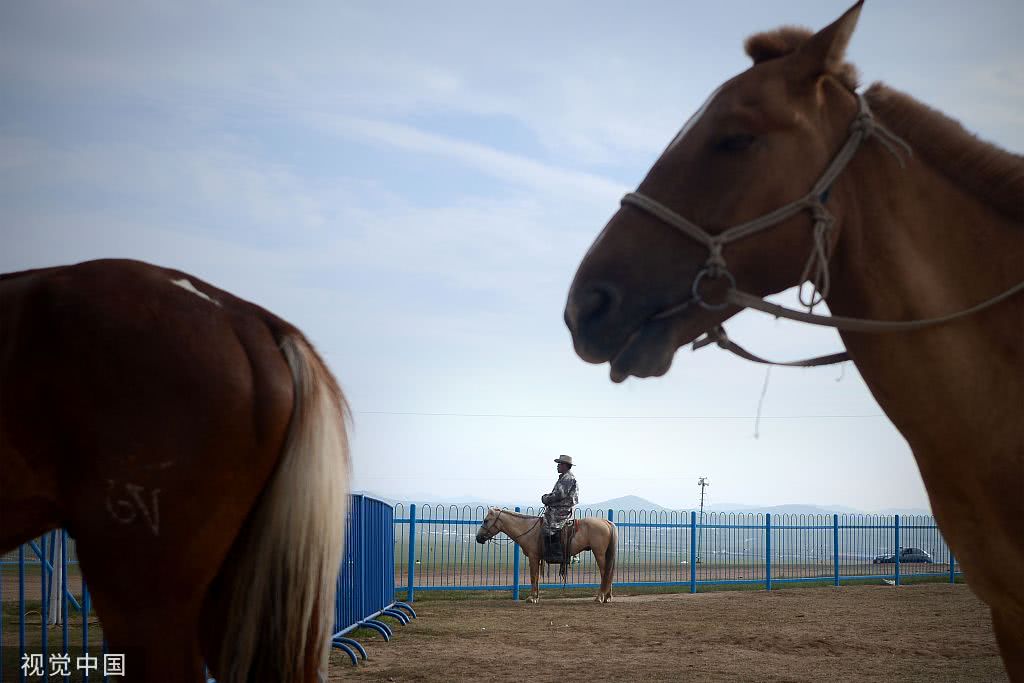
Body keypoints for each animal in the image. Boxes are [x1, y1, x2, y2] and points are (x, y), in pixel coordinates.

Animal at [473, 507, 614, 602]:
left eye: (486, 520)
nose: (478, 538)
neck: (528, 529)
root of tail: (606, 522)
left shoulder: (533, 557)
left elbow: (533, 577)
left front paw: (531, 598)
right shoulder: (538, 558)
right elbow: (537, 578)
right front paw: (536, 597)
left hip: (599, 553)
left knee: (604, 573)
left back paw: (600, 597)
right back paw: (607, 597)